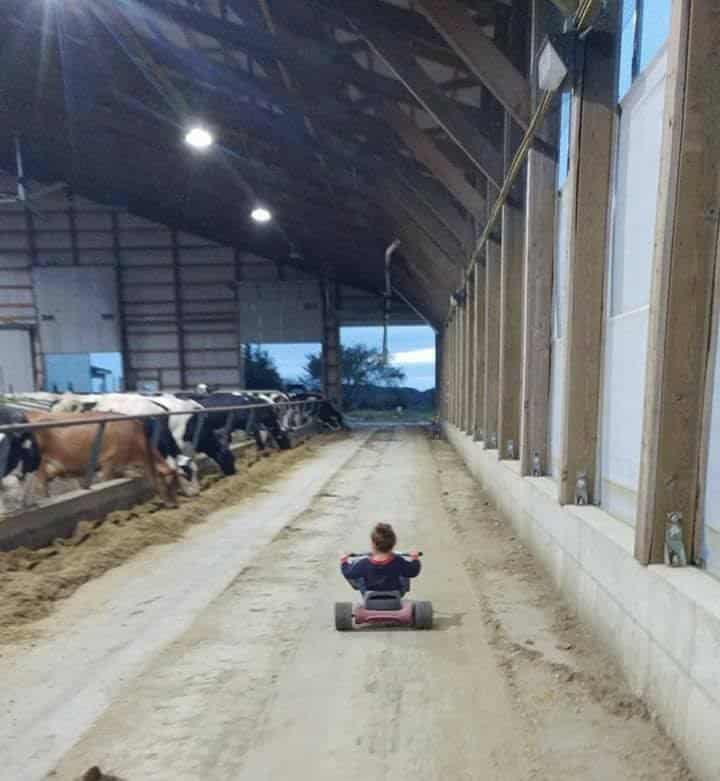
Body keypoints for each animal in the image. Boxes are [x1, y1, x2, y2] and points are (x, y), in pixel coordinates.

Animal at [24, 408, 179, 506]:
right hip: (41, 466)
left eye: (177, 485)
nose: (174, 505)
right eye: (168, 483)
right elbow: (107, 480)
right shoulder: (109, 463)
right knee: (41, 487)